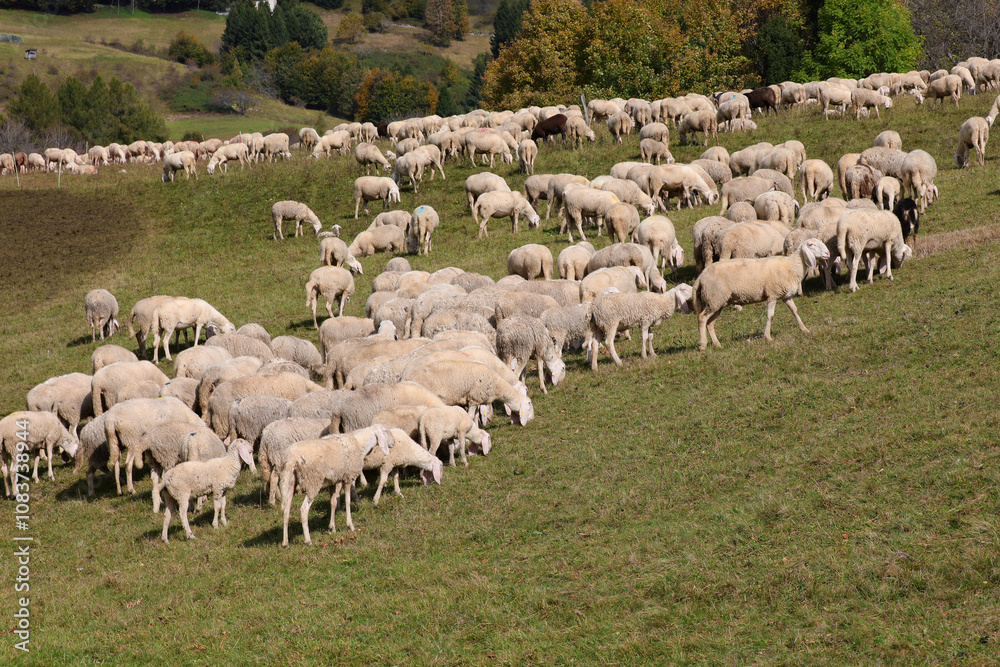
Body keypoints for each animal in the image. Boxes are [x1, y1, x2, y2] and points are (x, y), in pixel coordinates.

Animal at [694, 238, 831, 351]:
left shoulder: (786, 296)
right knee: (702, 318)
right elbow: (770, 316)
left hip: (718, 301)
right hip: (714, 298)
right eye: (811, 244)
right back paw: (703, 345)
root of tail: (701, 277)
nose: (828, 254)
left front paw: (804, 329)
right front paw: (768, 337)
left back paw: (717, 344)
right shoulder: (772, 295)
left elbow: (795, 310)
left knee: (710, 323)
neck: (791, 266)